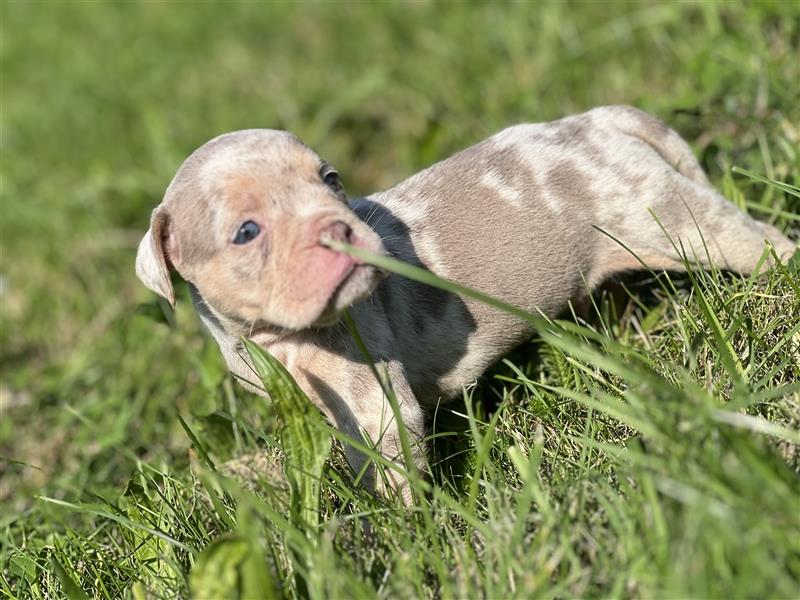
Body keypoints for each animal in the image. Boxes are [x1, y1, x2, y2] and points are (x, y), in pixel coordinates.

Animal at [136, 105, 792, 500]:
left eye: (330, 180)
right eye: (247, 231)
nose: (341, 227)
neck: (272, 337)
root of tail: (594, 122)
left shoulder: (372, 398)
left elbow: (389, 470)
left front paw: (400, 537)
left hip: (672, 218)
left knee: (759, 241)